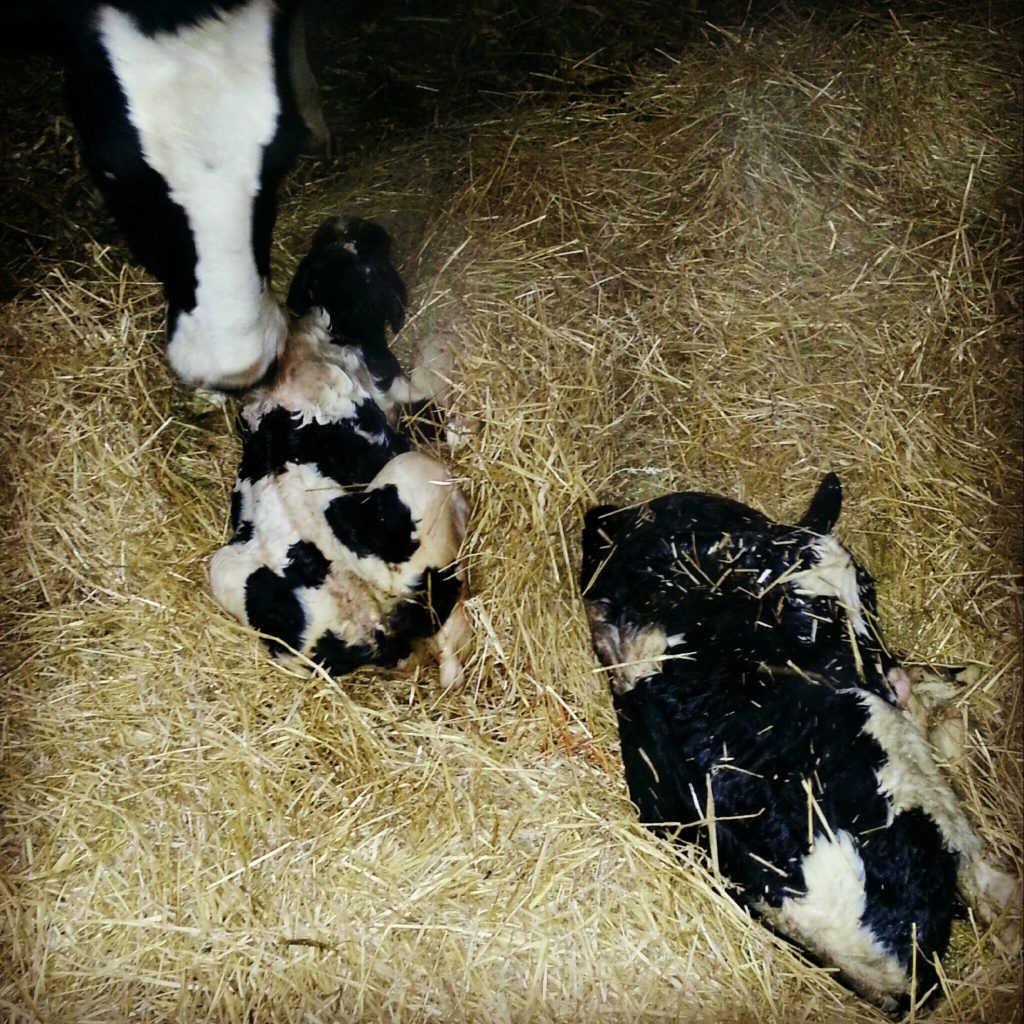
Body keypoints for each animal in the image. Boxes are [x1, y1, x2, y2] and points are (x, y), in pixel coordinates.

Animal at [580, 474, 1018, 1011]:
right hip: (899, 770)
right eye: (811, 612)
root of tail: (897, 978)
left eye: (868, 591)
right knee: (982, 880)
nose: (890, 679)